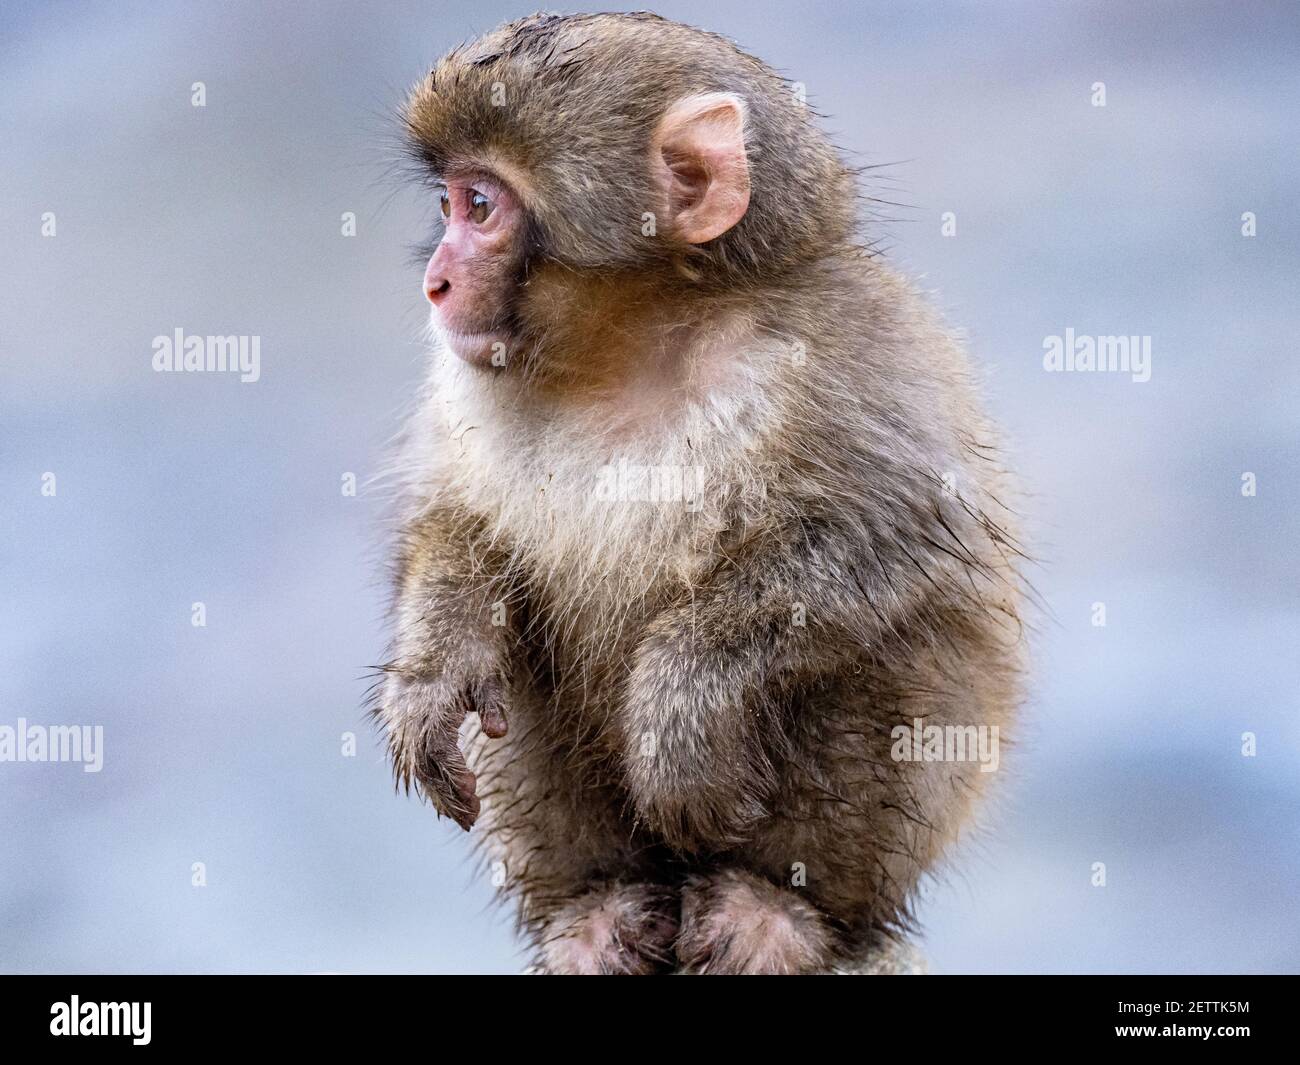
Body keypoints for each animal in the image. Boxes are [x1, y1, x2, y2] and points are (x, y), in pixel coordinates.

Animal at [374, 10, 1024, 972]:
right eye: (449, 204)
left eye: (480, 207)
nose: (436, 282)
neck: (636, 344)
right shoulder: (462, 379)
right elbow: (455, 521)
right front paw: (430, 668)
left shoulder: (853, 341)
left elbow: (899, 542)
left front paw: (680, 704)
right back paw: (595, 910)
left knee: (898, 641)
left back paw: (780, 911)